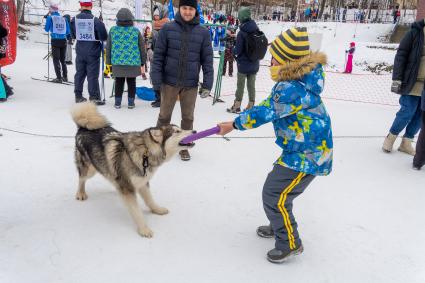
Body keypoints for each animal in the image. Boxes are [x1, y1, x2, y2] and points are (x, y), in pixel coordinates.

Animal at [71, 103, 194, 239]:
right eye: (177, 131)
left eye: (181, 129)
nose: (195, 131)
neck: (146, 152)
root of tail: (83, 128)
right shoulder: (128, 188)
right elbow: (136, 211)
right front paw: (144, 229)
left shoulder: (142, 182)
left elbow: (150, 199)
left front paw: (157, 210)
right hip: (89, 169)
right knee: (81, 179)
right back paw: (81, 193)